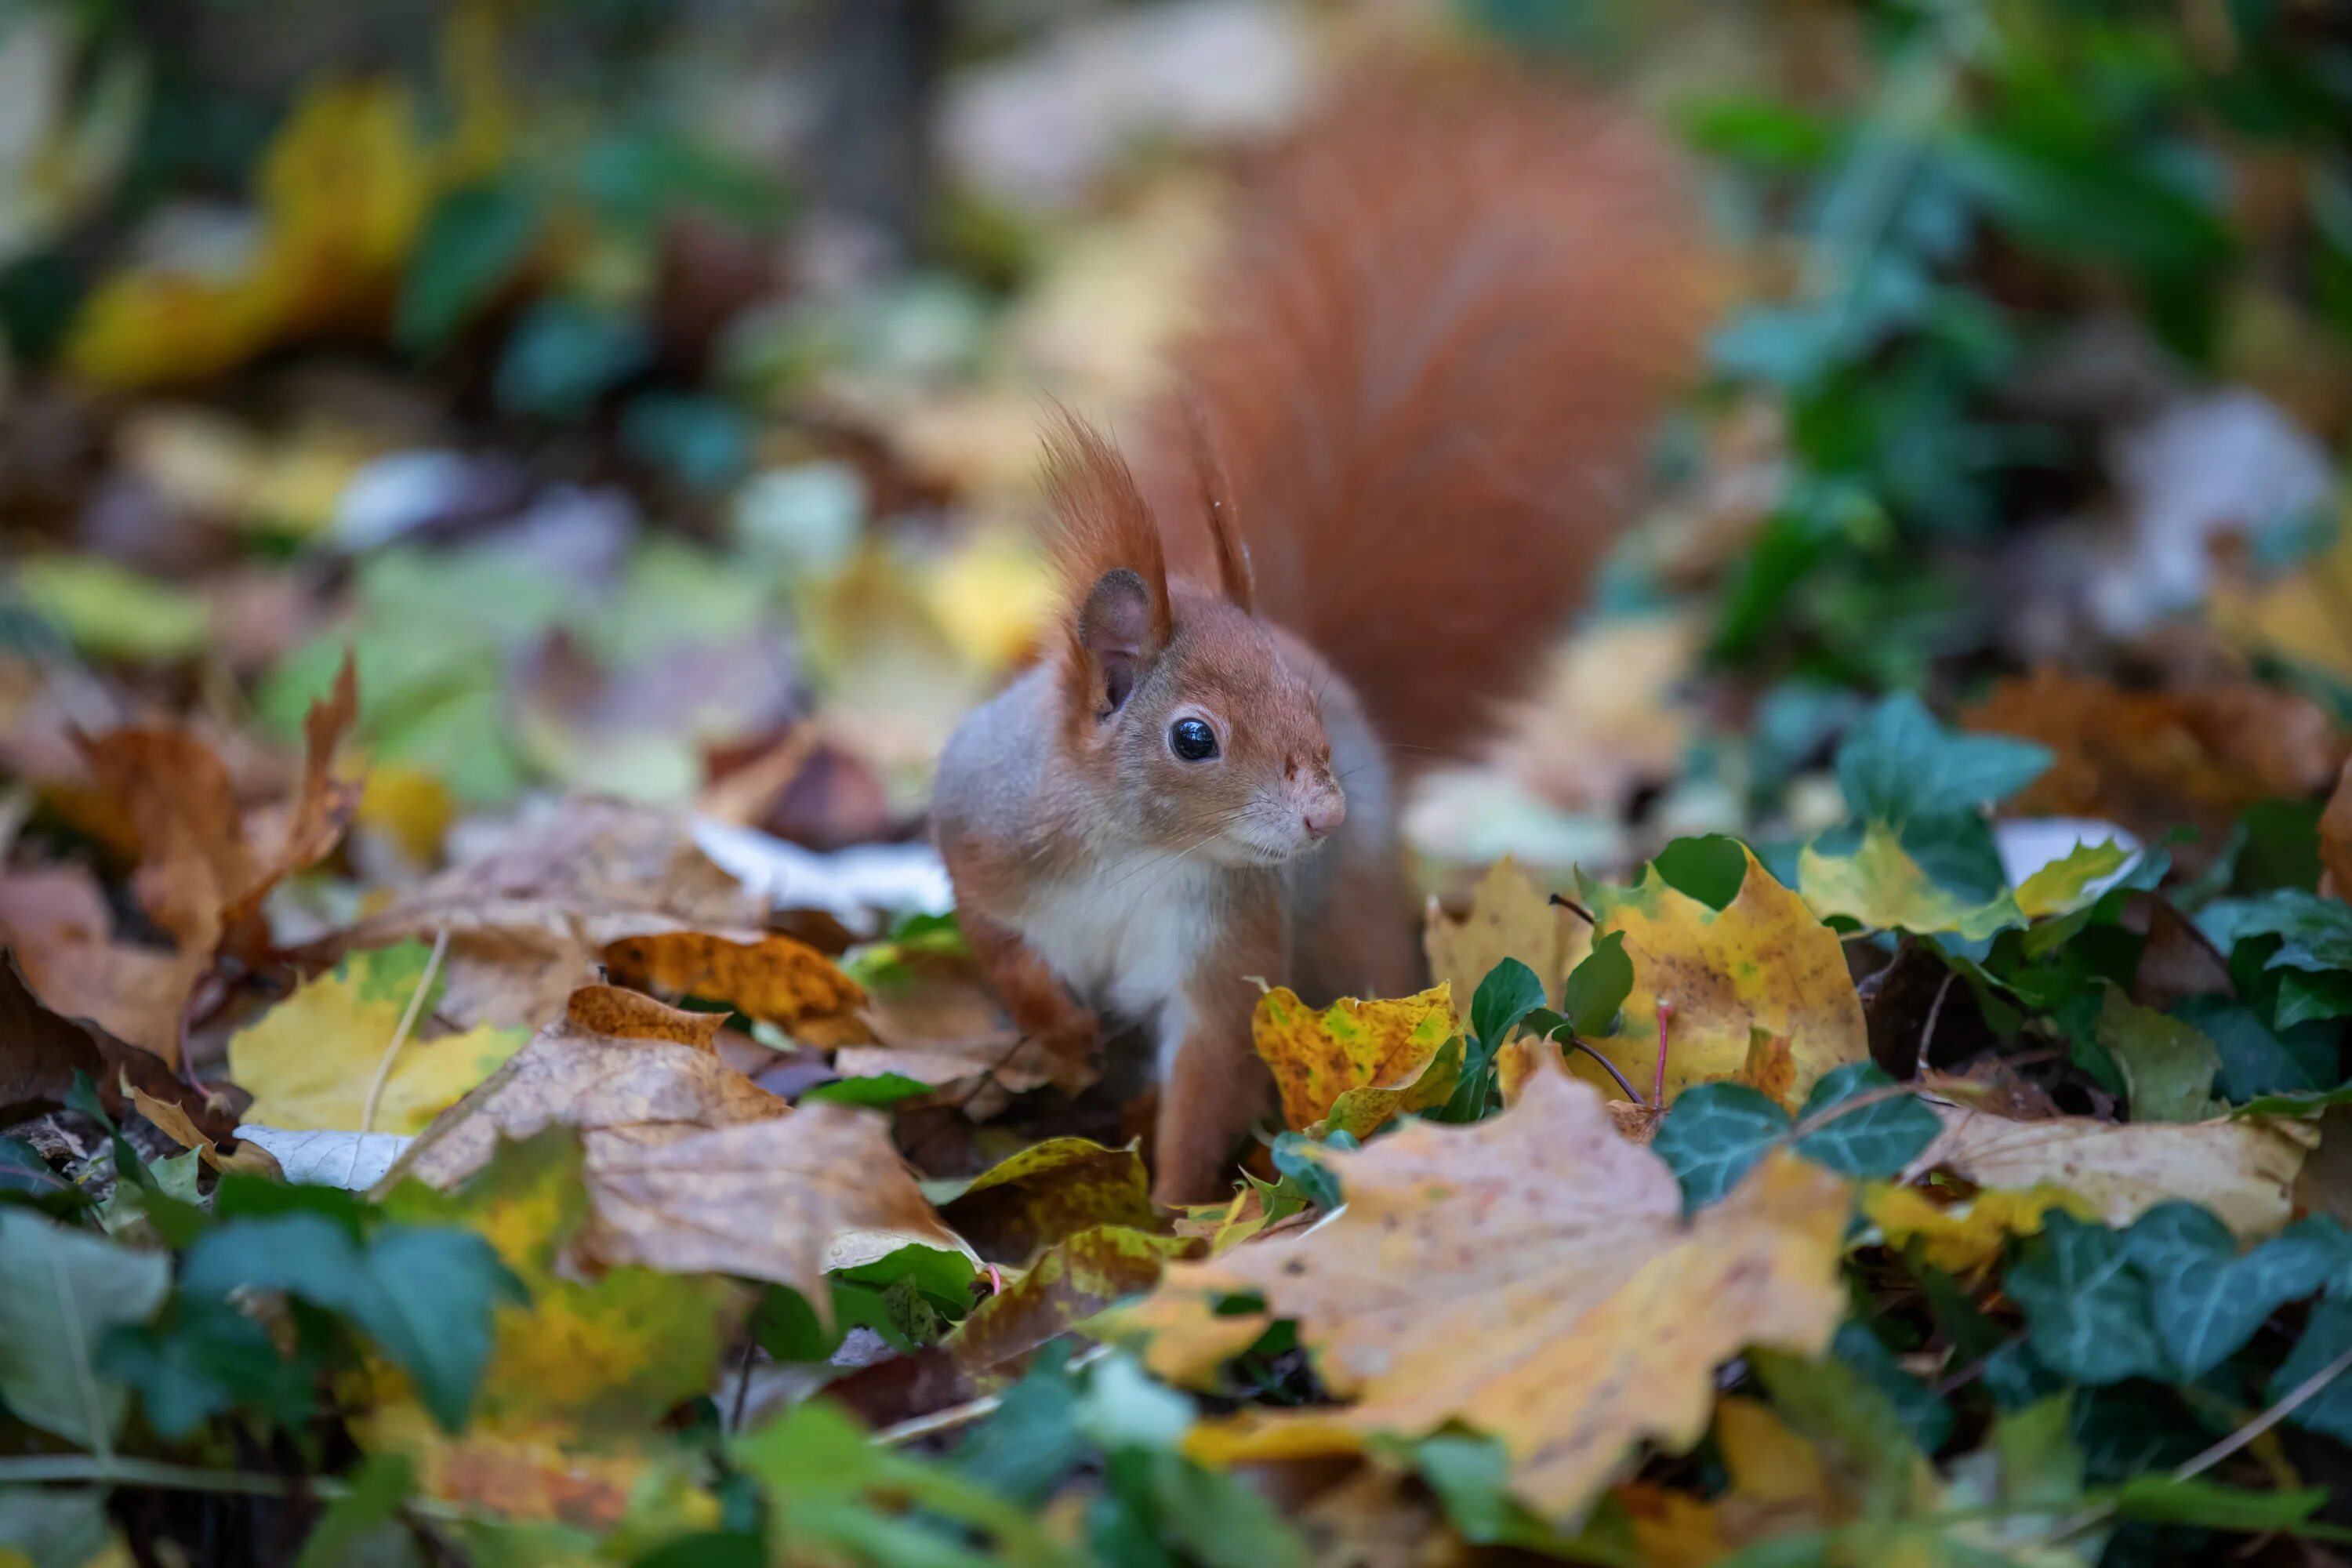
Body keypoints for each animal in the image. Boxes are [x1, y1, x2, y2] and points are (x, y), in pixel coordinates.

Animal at [927, 52, 1722, 1203]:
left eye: (1307, 705)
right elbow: (995, 942)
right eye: (1194, 738)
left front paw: (1171, 1220)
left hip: (1352, 930)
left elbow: (1209, 1081)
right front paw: (1061, 1033)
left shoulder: (1228, 954)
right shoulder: (979, 834)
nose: (1323, 818)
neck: (1135, 849)